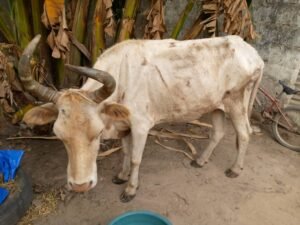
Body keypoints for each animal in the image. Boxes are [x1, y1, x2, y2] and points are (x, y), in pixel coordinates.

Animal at [20, 34, 262, 202]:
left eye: (98, 133)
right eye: (59, 135)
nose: (81, 185)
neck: (122, 76)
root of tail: (251, 52)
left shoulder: (140, 126)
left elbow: (136, 158)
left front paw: (130, 189)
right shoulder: (124, 126)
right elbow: (126, 152)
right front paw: (121, 175)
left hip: (237, 104)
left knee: (244, 134)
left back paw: (235, 169)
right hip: (217, 106)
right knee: (218, 133)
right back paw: (200, 161)